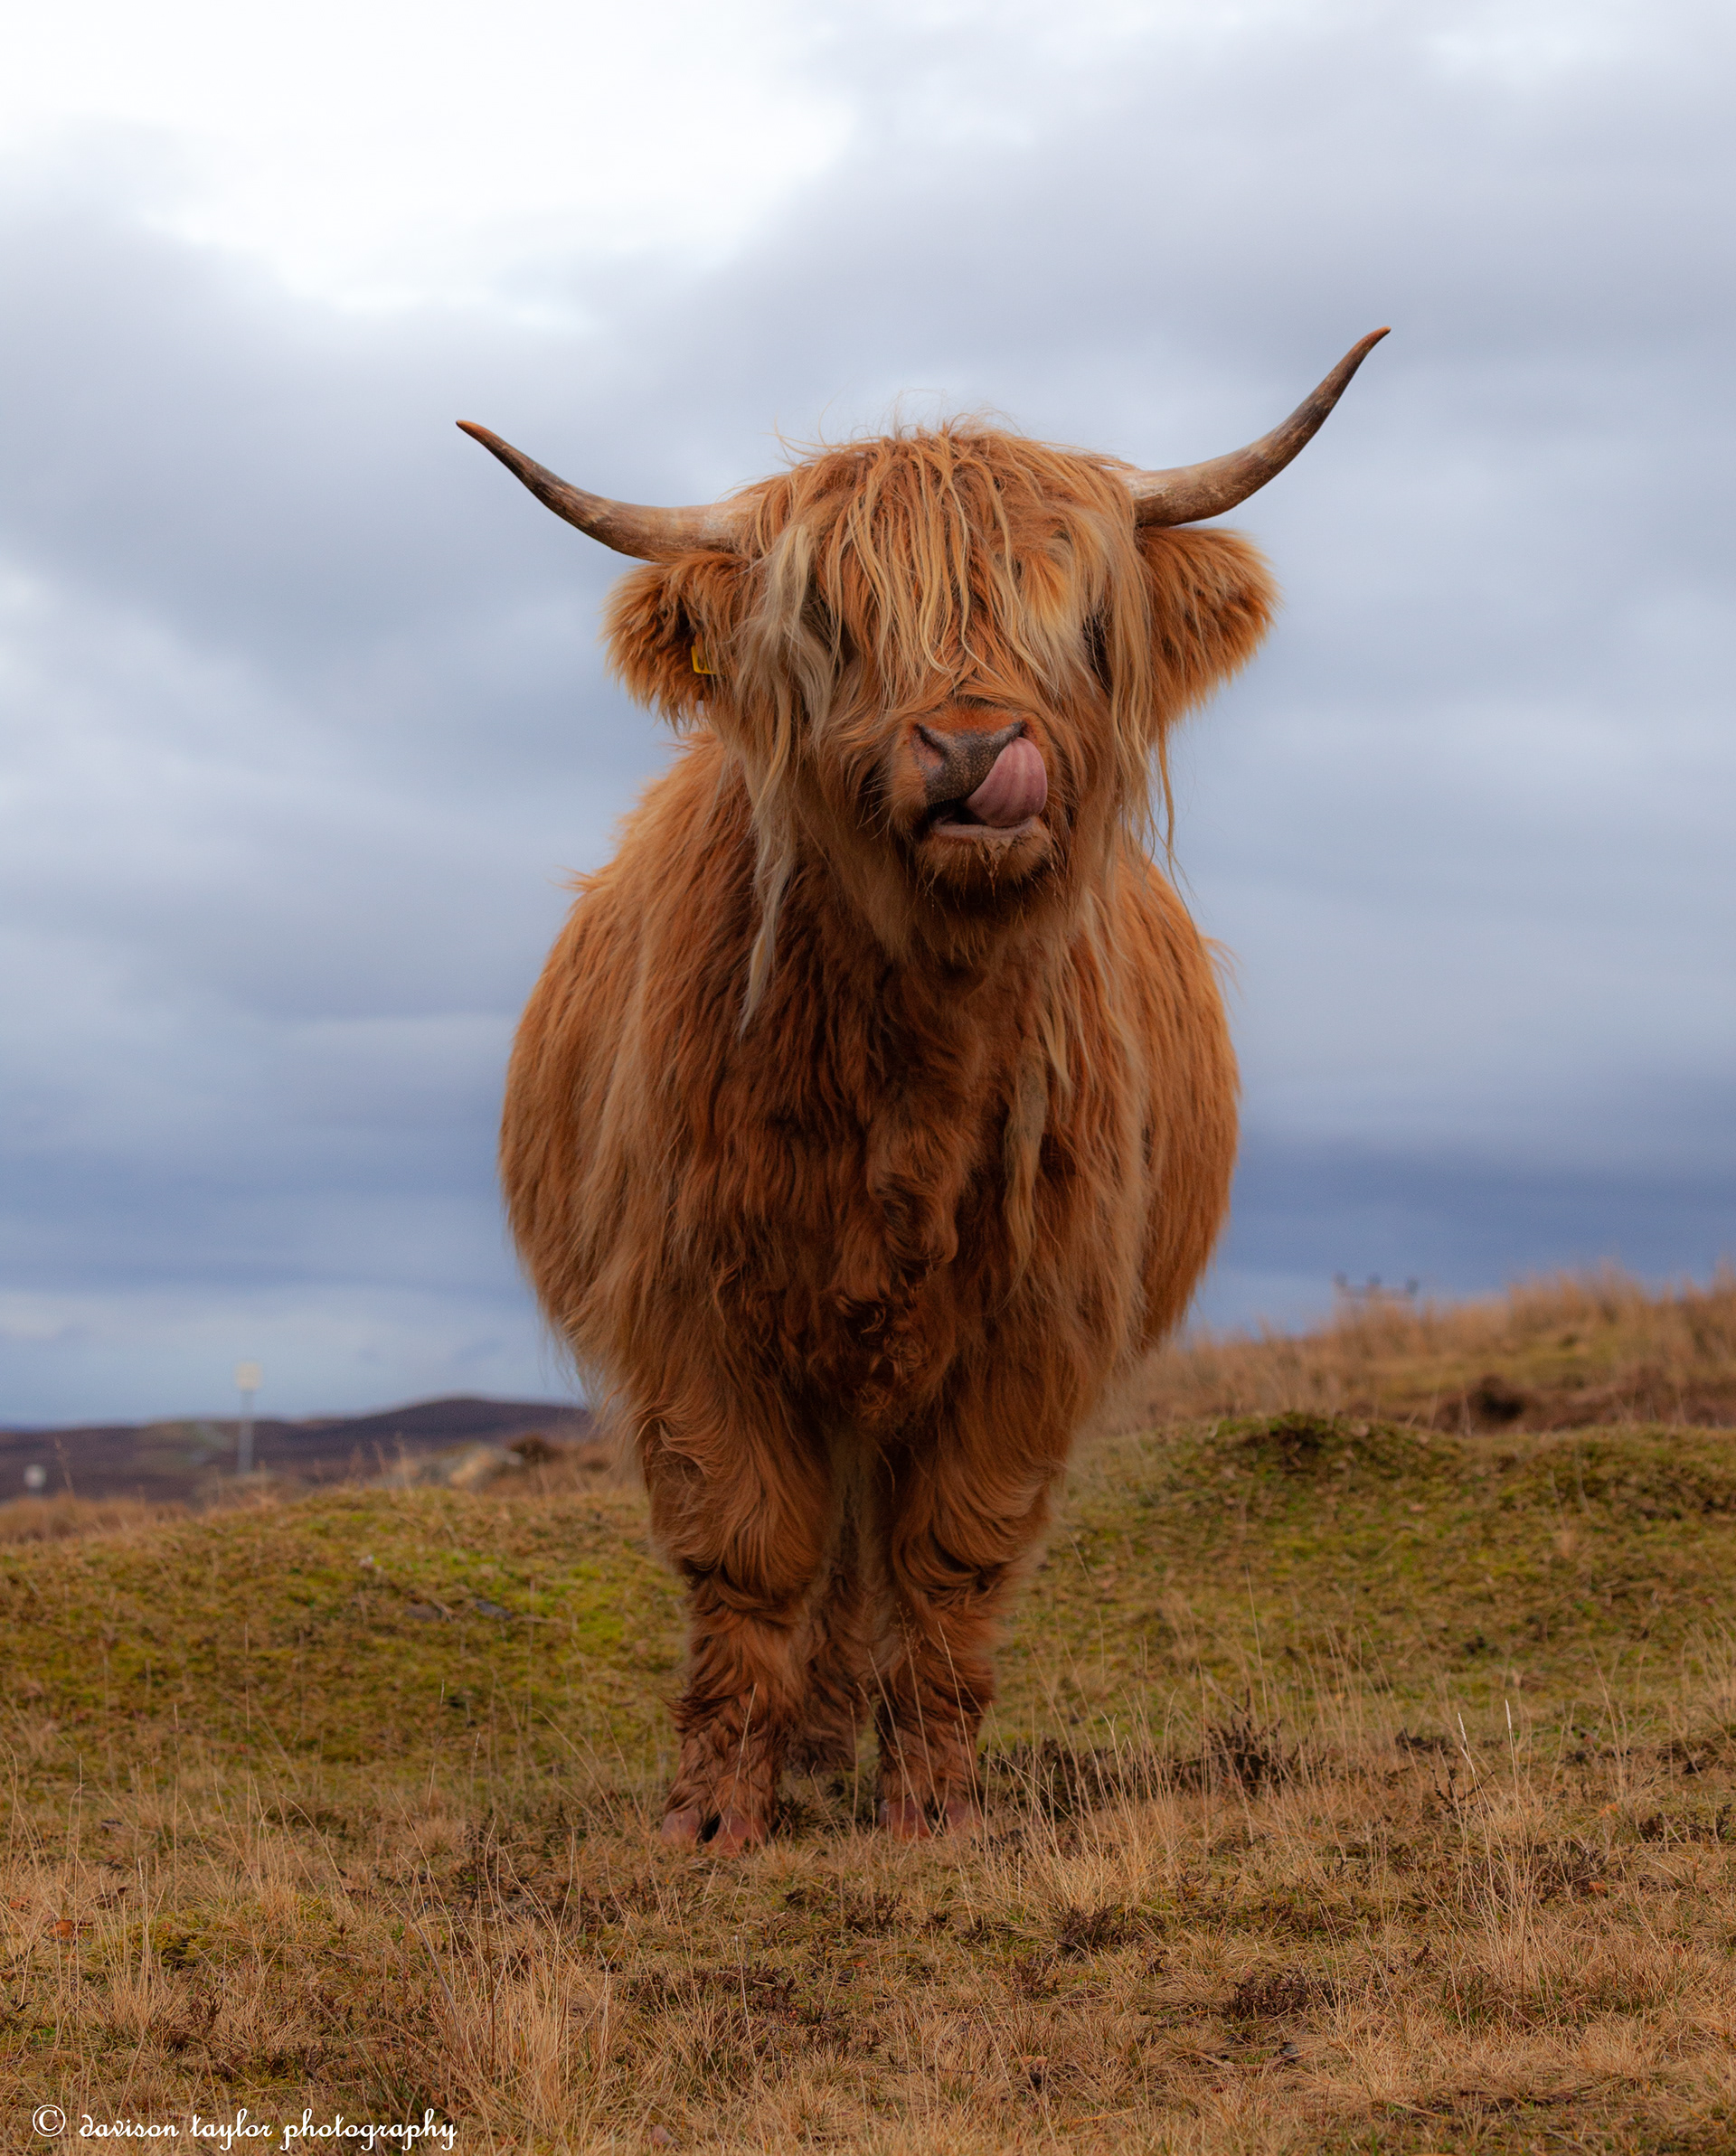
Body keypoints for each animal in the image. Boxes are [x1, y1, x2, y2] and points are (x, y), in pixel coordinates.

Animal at [460, 331, 1386, 1853]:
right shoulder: (689, 1308)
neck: (915, 1063)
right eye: (835, 623)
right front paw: (715, 1817)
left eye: (1080, 618)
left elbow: (952, 1555)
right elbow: (748, 1548)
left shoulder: (1035, 1326)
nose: (970, 751)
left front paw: (933, 1807)